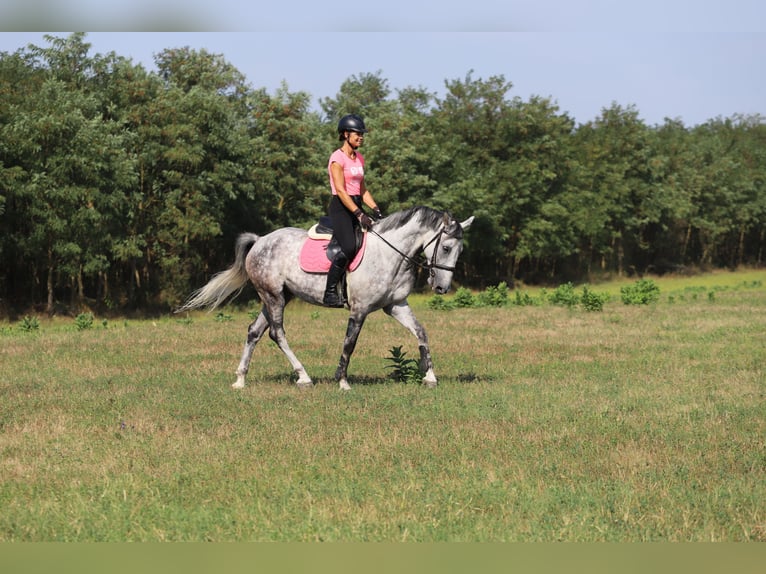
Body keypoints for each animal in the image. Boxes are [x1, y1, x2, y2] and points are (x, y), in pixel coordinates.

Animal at [178, 207, 474, 392]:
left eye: (459, 251)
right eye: (446, 247)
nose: (441, 287)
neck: (390, 254)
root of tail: (260, 240)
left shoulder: (396, 305)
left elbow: (421, 333)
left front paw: (429, 376)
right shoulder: (359, 310)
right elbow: (350, 343)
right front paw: (342, 381)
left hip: (275, 296)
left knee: (254, 332)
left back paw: (240, 380)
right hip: (274, 297)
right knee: (277, 333)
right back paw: (303, 376)